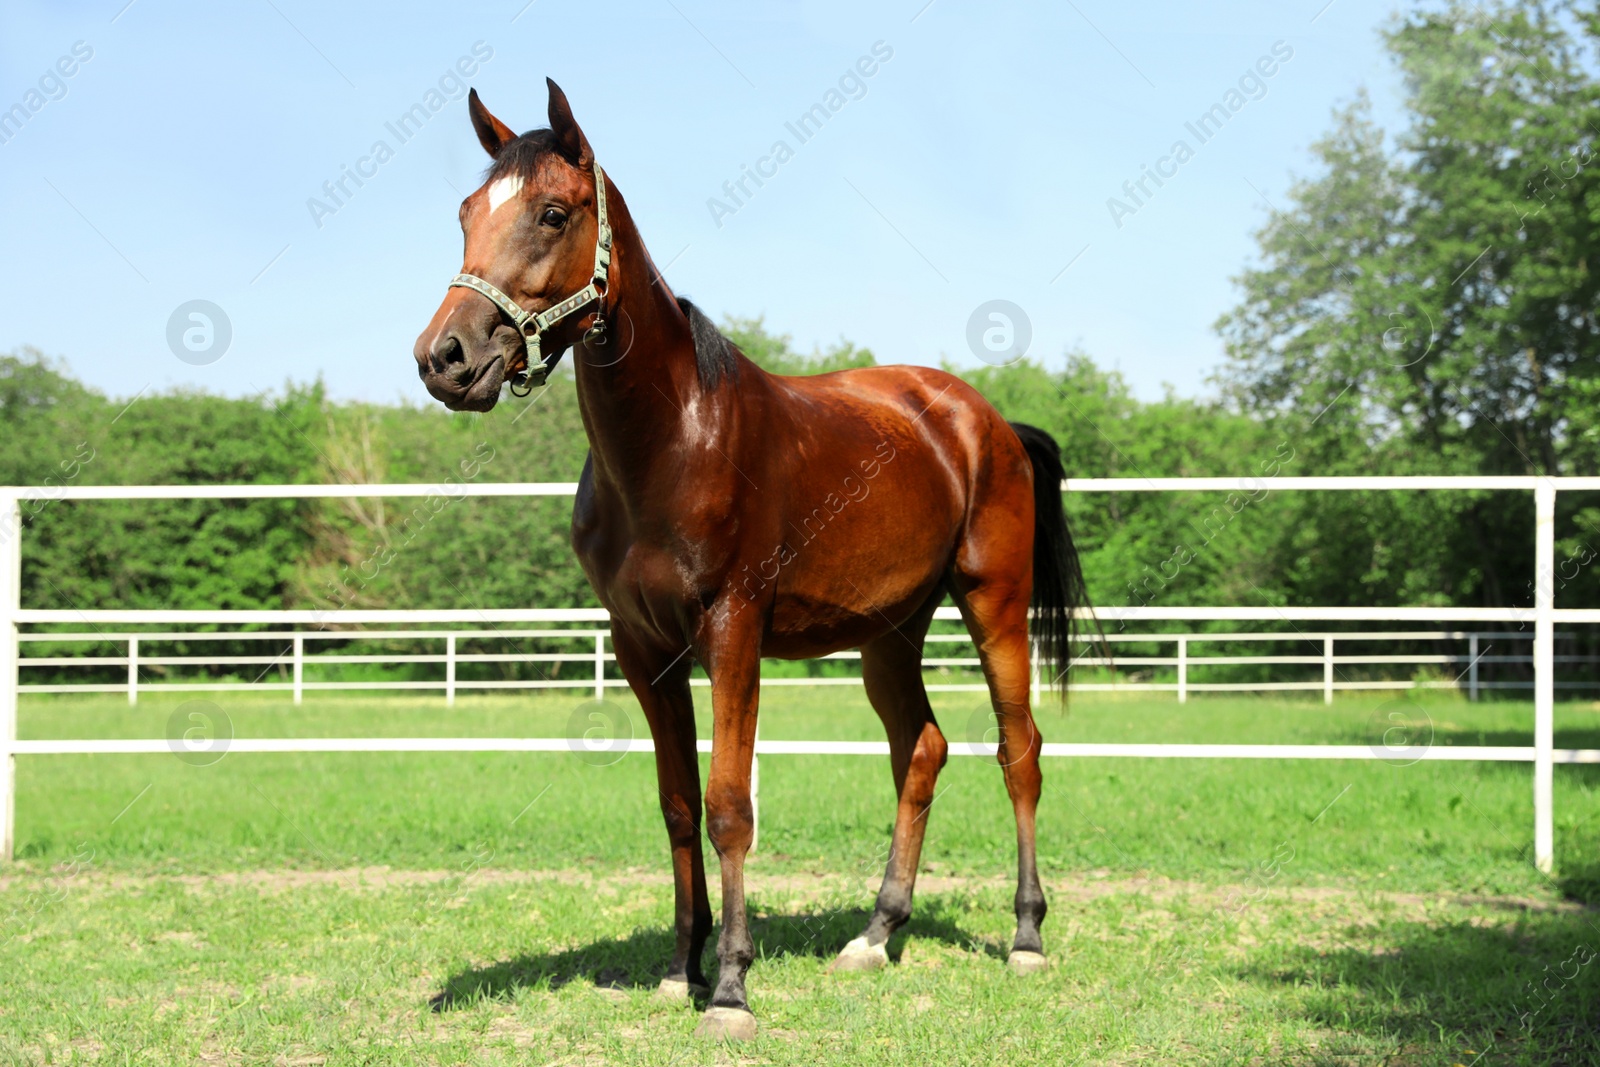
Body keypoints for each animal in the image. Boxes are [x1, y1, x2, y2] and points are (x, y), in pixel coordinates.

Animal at [409, 79, 1100, 1036]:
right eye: (467, 213)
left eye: (552, 212)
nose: (445, 357)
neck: (673, 443)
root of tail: (986, 420)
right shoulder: (644, 649)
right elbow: (677, 805)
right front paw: (680, 966)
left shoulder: (732, 631)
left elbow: (731, 805)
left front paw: (731, 987)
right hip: (889, 633)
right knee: (919, 750)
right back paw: (876, 932)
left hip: (993, 599)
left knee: (1018, 749)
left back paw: (1027, 935)